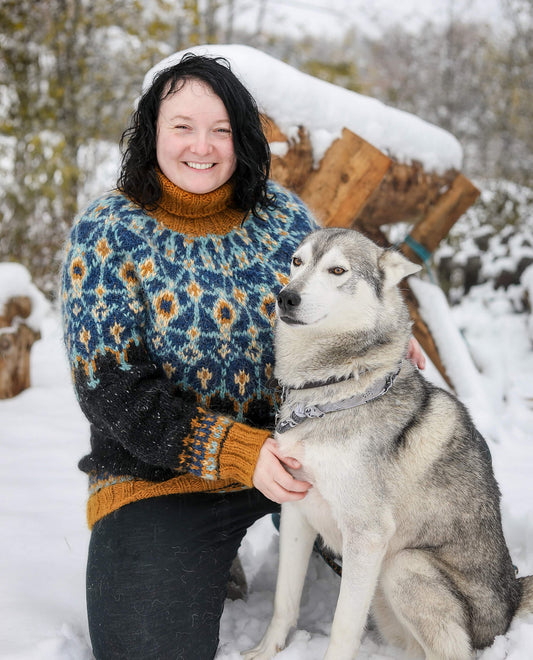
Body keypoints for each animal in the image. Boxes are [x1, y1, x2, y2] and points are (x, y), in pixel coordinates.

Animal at [245, 228, 532, 660]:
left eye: (337, 270)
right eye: (297, 262)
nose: (286, 297)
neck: (333, 390)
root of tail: (512, 600)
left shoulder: (367, 536)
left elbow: (343, 627)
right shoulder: (296, 509)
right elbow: (284, 601)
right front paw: (266, 651)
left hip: (402, 566)